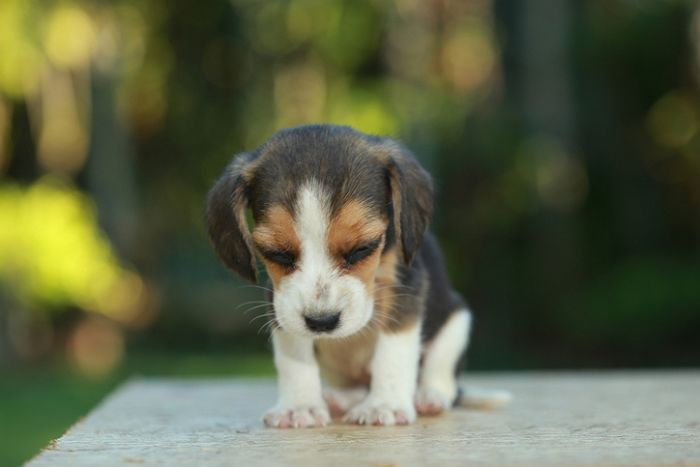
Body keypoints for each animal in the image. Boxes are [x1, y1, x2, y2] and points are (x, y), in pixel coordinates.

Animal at [205, 123, 506, 428]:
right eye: (277, 254)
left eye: (362, 248)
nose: (322, 322)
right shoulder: (279, 301)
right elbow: (294, 357)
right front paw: (300, 406)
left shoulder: (404, 288)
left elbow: (393, 352)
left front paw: (384, 404)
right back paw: (342, 399)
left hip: (457, 323)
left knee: (443, 380)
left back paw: (428, 397)